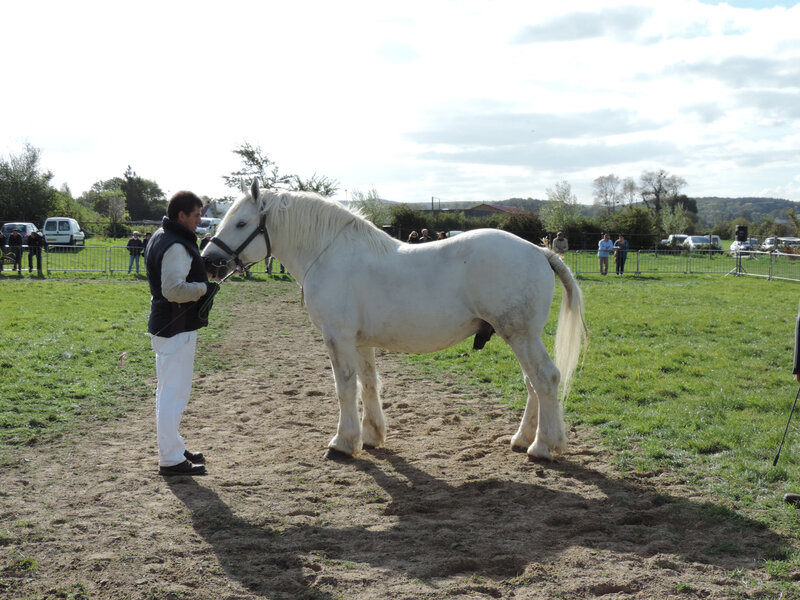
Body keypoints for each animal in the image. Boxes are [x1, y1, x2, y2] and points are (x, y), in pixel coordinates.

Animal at [203, 180, 584, 462]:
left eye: (241, 223)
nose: (209, 261)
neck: (328, 254)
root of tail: (539, 251)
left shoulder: (337, 337)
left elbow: (345, 387)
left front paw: (343, 442)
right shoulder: (360, 342)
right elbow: (369, 385)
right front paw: (371, 436)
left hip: (520, 335)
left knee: (545, 378)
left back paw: (543, 446)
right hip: (519, 336)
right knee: (533, 383)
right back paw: (522, 438)